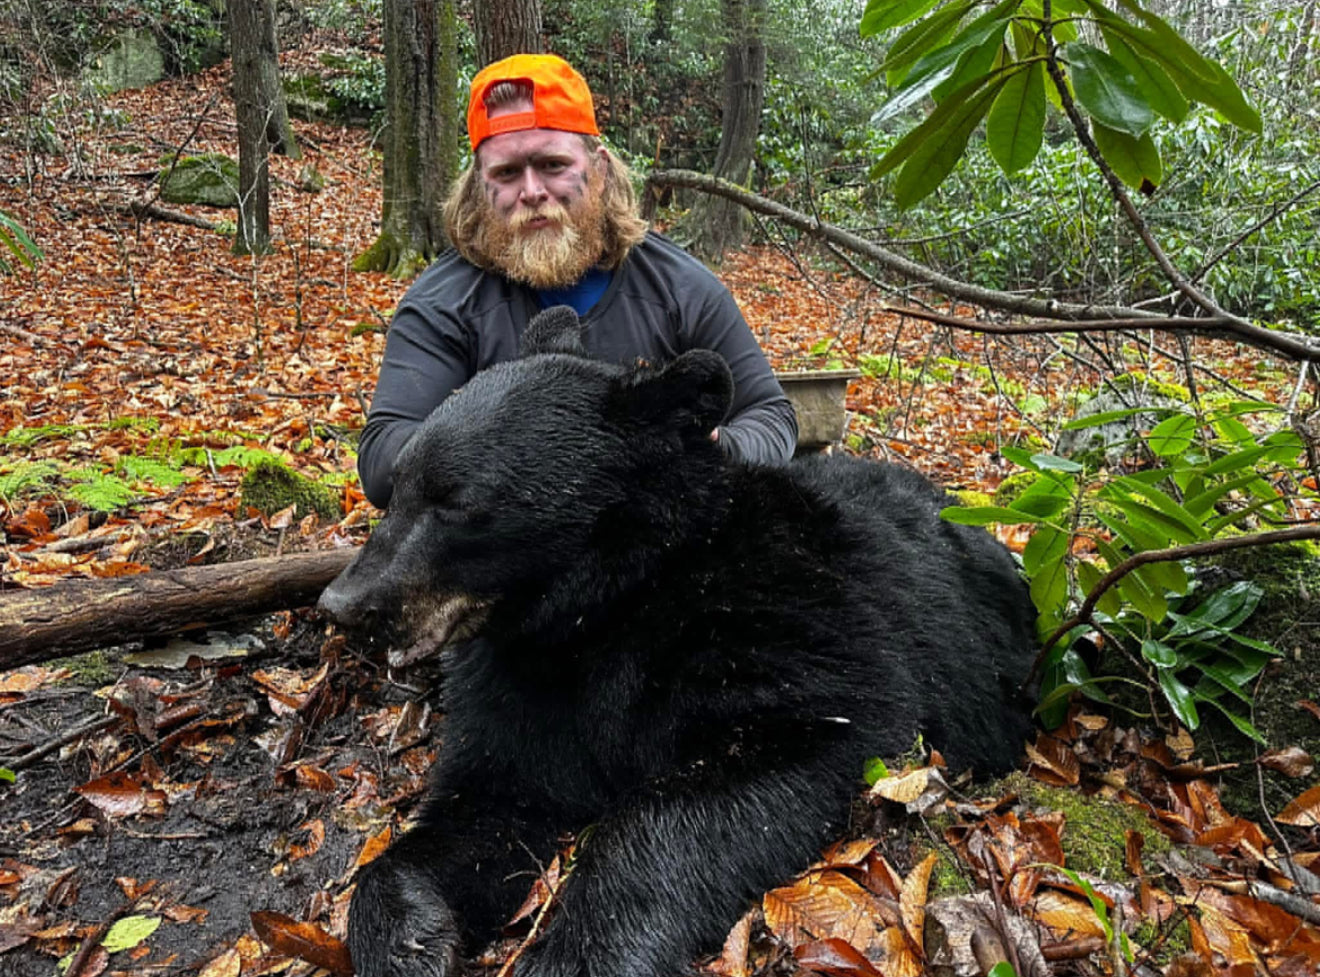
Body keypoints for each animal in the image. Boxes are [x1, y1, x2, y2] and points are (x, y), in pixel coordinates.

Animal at [318, 306, 1037, 977]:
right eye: (397, 485)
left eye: (458, 503)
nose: (344, 605)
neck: (603, 607)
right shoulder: (521, 684)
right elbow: (485, 797)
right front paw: (409, 937)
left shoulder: (782, 630)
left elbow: (763, 759)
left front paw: (576, 953)